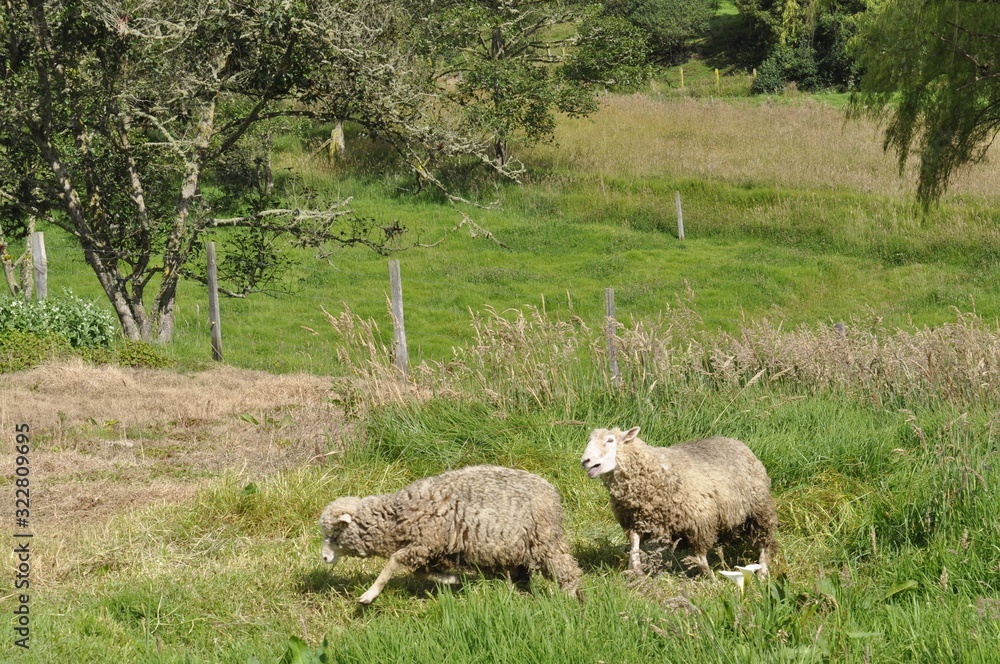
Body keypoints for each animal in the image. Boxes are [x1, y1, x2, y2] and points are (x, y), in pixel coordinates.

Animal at [318, 464, 582, 604]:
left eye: (334, 533)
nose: (324, 558)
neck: (398, 516)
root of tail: (553, 492)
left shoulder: (426, 541)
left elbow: (393, 562)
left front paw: (369, 594)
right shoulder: (430, 549)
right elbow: (420, 572)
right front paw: (452, 579)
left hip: (545, 541)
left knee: (567, 570)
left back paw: (571, 599)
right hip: (520, 549)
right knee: (523, 576)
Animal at [580, 426, 776, 577]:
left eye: (610, 440)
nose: (585, 461)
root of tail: (736, 441)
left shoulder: (700, 521)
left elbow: (700, 557)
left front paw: (711, 578)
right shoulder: (634, 521)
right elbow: (634, 548)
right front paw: (636, 571)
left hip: (759, 509)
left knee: (764, 542)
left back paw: (762, 572)